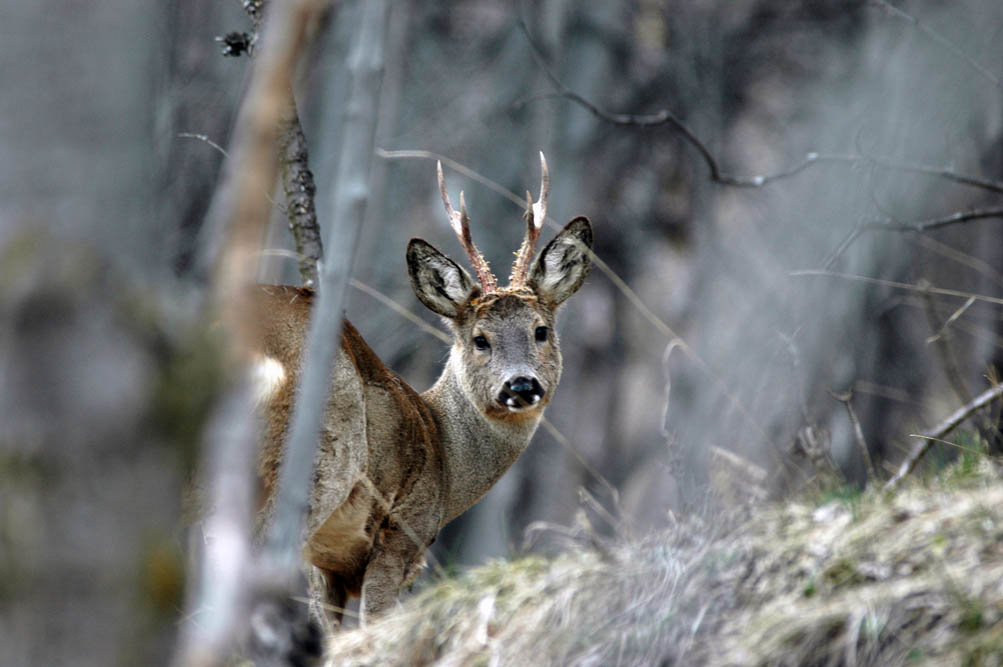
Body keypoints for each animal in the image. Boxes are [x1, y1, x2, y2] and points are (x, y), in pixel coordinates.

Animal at [250, 153, 589, 625]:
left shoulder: (325, 565)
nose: (521, 384)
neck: (444, 455)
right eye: (479, 339)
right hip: (318, 461)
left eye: (540, 331)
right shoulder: (402, 529)